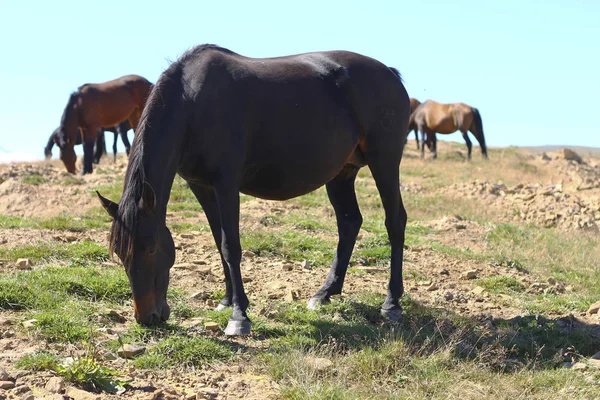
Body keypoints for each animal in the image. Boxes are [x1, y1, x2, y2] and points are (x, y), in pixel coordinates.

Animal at [96, 45, 412, 336]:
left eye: (150, 248)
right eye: (119, 253)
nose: (146, 316)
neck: (193, 104)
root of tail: (390, 74)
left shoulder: (226, 184)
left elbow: (230, 246)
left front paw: (239, 316)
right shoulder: (201, 186)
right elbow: (218, 241)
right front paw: (227, 301)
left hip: (384, 162)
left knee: (394, 222)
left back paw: (391, 303)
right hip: (341, 173)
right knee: (349, 223)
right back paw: (325, 293)